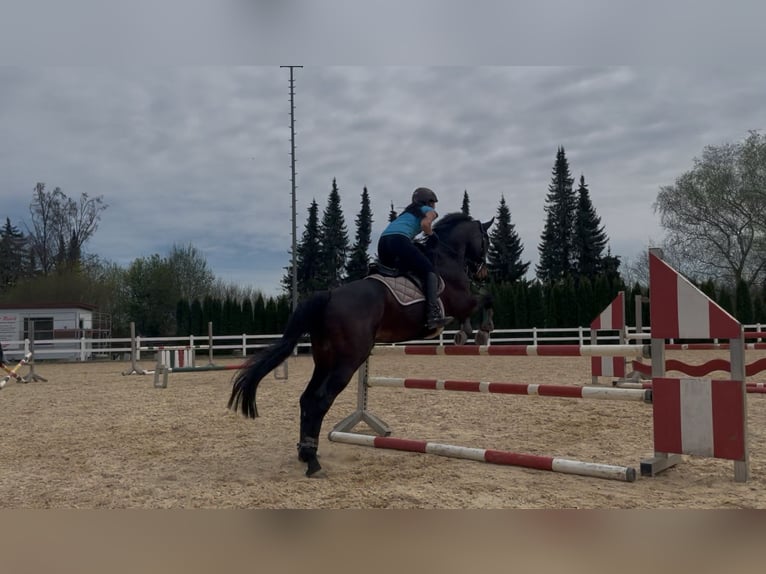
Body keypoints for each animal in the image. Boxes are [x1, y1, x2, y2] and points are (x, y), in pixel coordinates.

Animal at [228, 213, 494, 476]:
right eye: (486, 241)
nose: (483, 274)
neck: (447, 256)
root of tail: (329, 296)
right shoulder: (461, 301)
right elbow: (484, 300)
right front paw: (481, 331)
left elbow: (477, 306)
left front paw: (466, 332)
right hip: (350, 360)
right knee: (320, 400)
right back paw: (313, 463)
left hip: (324, 360)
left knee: (307, 398)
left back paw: (305, 452)